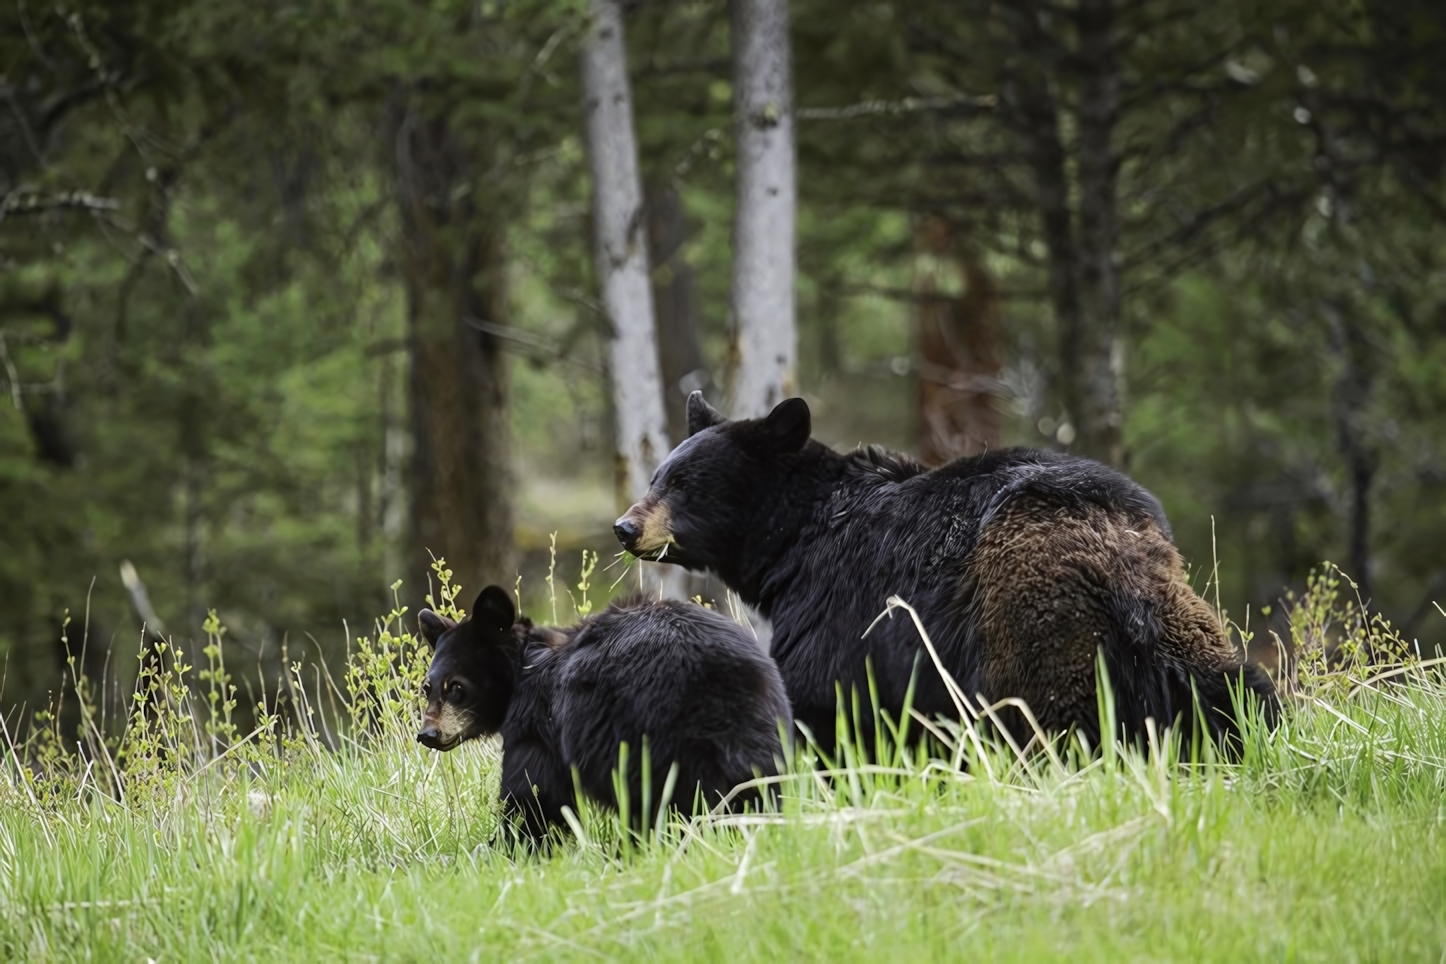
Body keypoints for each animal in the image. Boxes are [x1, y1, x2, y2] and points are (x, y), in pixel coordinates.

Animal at [413, 583, 792, 838]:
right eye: (427, 687)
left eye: (456, 687)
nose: (427, 734)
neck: (525, 666)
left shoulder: (538, 725)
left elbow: (533, 793)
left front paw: (509, 845)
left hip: (648, 733)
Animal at [610, 393, 1278, 751]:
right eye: (657, 476)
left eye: (686, 484)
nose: (625, 527)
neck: (797, 542)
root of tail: (1118, 560)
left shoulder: (839, 606)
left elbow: (824, 699)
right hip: (1178, 623)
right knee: (1232, 686)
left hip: (1034, 624)